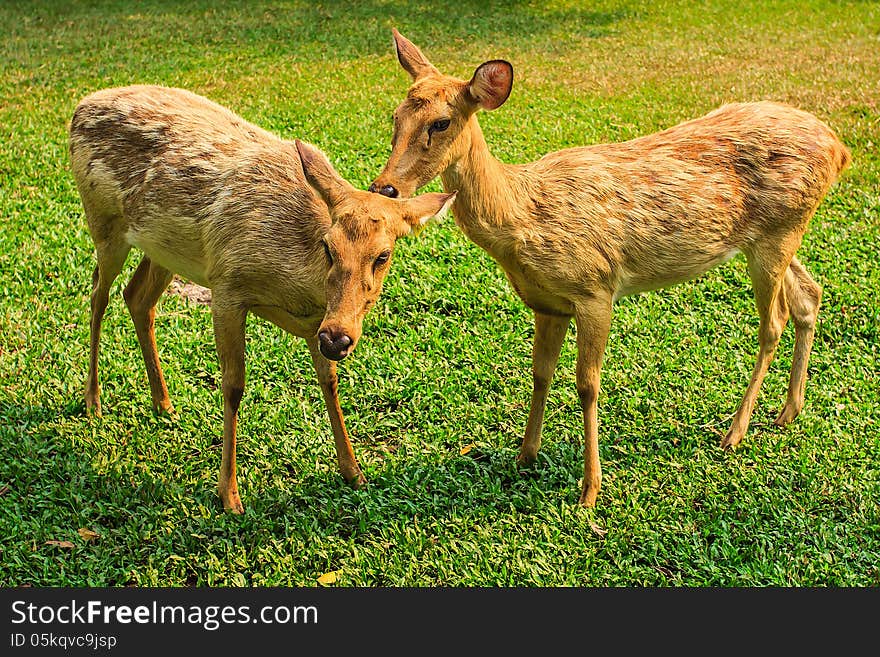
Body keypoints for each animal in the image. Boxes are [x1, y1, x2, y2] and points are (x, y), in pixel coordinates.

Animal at [67, 84, 460, 512]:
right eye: (329, 247)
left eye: (383, 255)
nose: (337, 337)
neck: (298, 285)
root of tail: (80, 107)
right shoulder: (226, 283)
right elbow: (234, 385)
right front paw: (229, 495)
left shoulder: (313, 322)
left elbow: (329, 380)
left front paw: (354, 472)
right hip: (103, 220)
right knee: (98, 293)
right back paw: (93, 401)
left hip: (163, 249)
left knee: (137, 296)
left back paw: (164, 404)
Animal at [368, 29, 848, 508]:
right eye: (395, 116)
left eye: (441, 123)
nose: (384, 187)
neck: (522, 217)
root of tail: (838, 147)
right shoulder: (547, 303)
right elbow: (540, 373)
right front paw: (525, 456)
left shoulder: (594, 288)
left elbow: (587, 385)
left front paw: (590, 490)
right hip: (775, 234)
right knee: (809, 294)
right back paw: (788, 410)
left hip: (778, 232)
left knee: (774, 322)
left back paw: (735, 431)